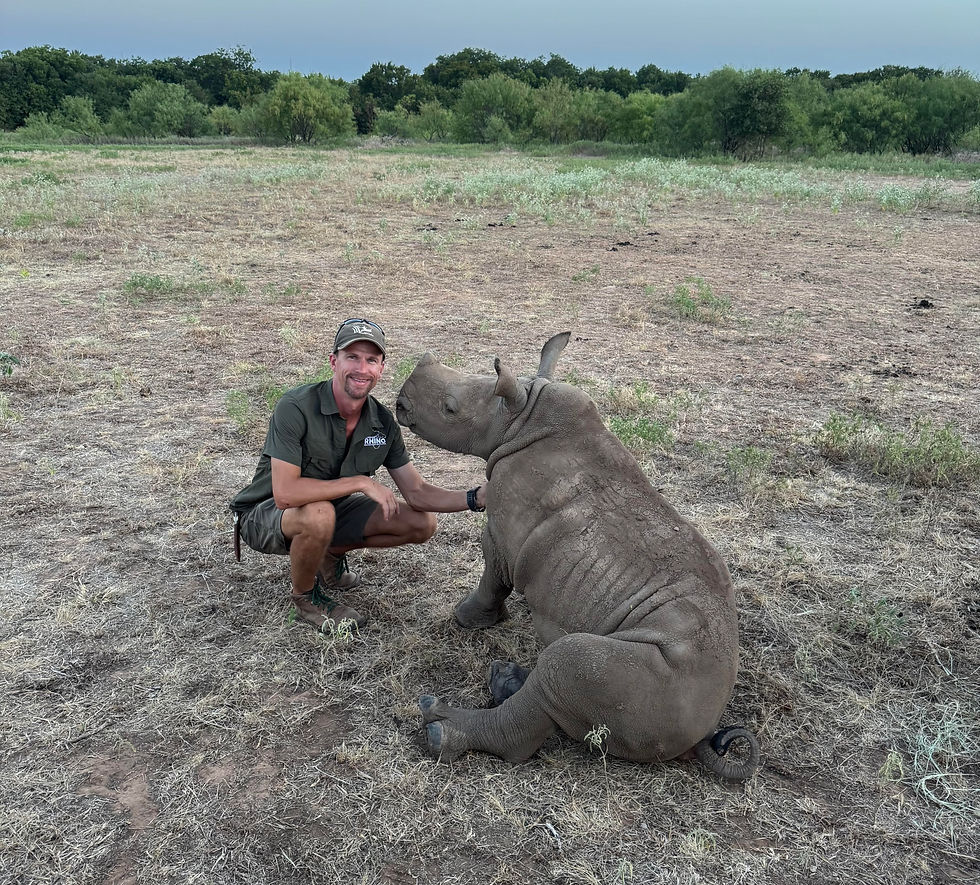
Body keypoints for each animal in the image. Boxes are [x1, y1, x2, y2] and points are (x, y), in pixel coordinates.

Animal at [395, 332, 760, 780]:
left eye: (450, 408)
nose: (399, 402)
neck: (519, 418)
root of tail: (703, 733)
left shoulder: (502, 530)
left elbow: (493, 572)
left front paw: (467, 619)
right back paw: (503, 680)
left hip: (664, 680)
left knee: (566, 663)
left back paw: (438, 726)